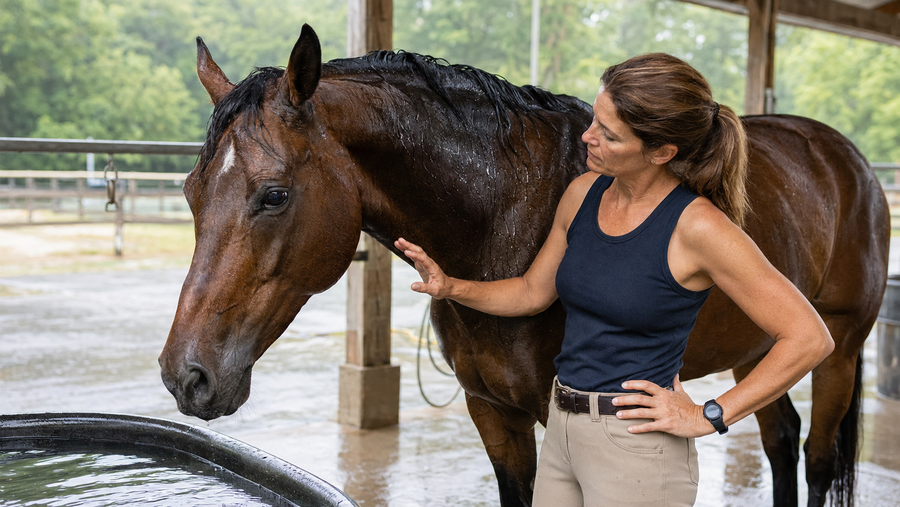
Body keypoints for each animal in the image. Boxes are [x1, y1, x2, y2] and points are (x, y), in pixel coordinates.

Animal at [158, 24, 890, 507]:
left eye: (273, 195)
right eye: (191, 192)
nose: (185, 376)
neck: (504, 216)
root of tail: (843, 156)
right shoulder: (494, 412)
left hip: (838, 348)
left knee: (817, 457)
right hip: (757, 347)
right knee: (781, 440)